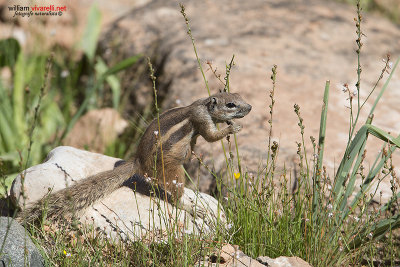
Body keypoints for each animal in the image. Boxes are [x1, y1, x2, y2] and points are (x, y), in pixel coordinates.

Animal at [18, 92, 252, 222]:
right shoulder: (202, 119)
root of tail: (138, 162)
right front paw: (233, 128)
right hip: (173, 171)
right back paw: (193, 208)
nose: (250, 107)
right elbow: (211, 136)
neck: (203, 105)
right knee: (175, 197)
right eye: (231, 104)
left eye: (240, 96)